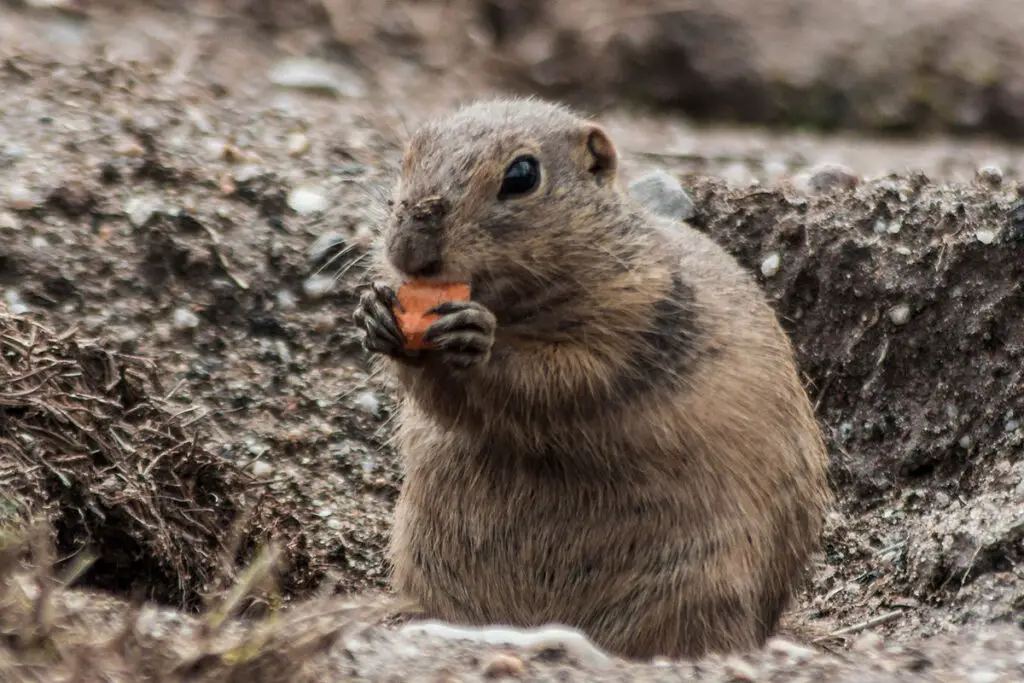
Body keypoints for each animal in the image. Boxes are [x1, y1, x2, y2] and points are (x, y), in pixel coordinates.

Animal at [352, 97, 831, 663]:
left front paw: (477, 337)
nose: (409, 250)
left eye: (522, 175)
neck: (513, 304)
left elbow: (567, 375)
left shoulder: (633, 312)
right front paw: (375, 314)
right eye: (409, 153)